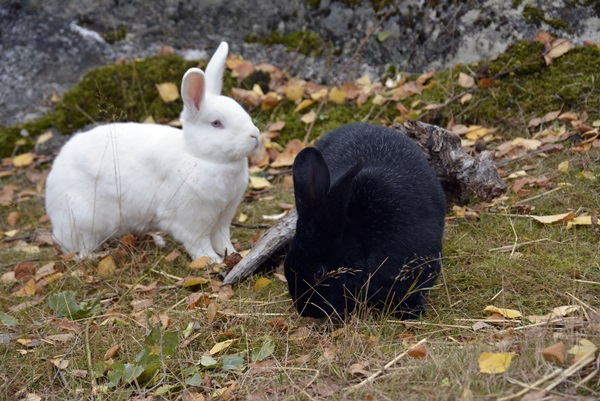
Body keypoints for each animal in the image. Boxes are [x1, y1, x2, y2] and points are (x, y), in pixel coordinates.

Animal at [45, 42, 262, 260]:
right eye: (216, 123)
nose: (255, 135)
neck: (200, 157)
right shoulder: (191, 220)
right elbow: (199, 244)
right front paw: (212, 261)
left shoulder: (223, 217)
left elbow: (223, 239)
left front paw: (235, 254)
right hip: (83, 222)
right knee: (79, 249)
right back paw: (93, 256)